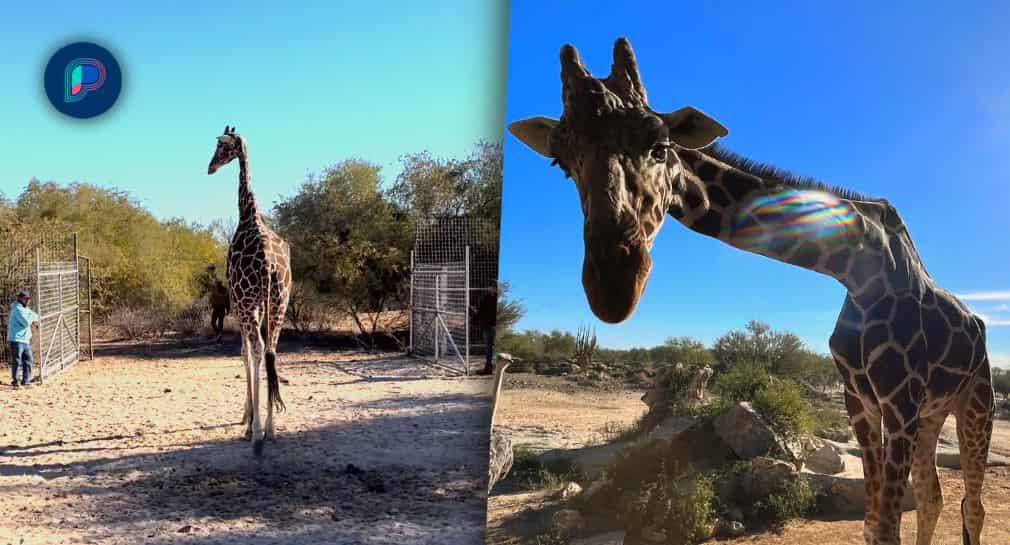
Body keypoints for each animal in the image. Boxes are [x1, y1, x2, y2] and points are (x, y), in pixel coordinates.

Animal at [208, 125, 293, 457]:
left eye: (221, 145)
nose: (210, 166)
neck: (248, 214)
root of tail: (269, 265)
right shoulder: (257, 305)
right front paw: (257, 421)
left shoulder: (238, 301)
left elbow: (245, 354)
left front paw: (246, 419)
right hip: (279, 304)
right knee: (271, 350)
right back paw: (271, 430)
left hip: (247, 302)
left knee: (257, 350)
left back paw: (256, 434)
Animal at [508, 38, 994, 545]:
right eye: (561, 161)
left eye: (660, 146)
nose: (614, 288)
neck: (855, 268)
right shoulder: (859, 400)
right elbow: (872, 523)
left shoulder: (899, 399)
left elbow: (885, 528)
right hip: (933, 412)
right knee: (933, 495)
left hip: (976, 400)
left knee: (972, 503)